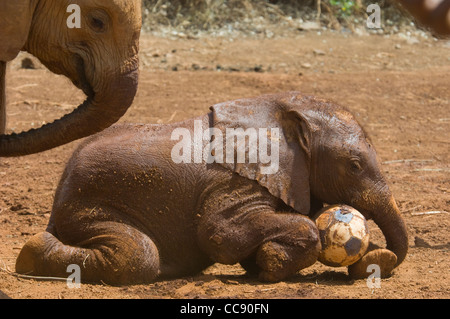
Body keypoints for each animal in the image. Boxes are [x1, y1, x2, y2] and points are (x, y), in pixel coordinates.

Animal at [15, 92, 408, 284]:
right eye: (354, 166)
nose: (374, 260)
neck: (285, 113)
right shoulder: (233, 181)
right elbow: (219, 233)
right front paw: (271, 267)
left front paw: (265, 264)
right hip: (89, 205)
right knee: (138, 256)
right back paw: (30, 255)